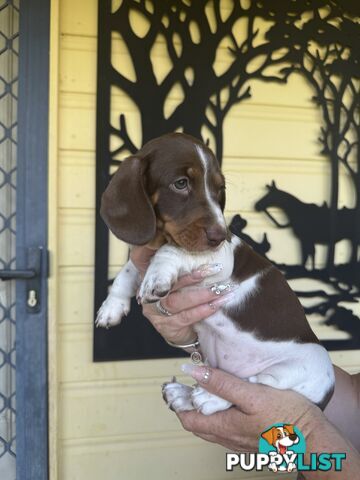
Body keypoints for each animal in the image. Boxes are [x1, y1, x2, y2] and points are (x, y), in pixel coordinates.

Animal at [95, 132, 334, 416]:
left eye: (219, 189)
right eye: (181, 183)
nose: (220, 235)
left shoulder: (220, 257)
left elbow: (170, 251)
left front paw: (156, 276)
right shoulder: (144, 257)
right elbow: (128, 270)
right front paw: (112, 306)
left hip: (304, 366)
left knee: (251, 384)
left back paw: (208, 397)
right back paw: (183, 395)